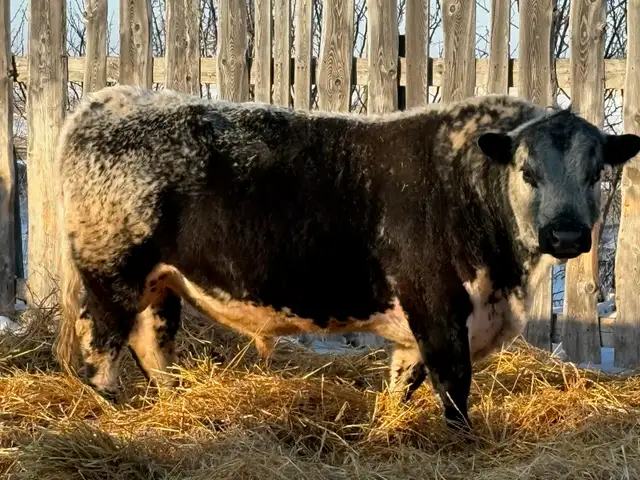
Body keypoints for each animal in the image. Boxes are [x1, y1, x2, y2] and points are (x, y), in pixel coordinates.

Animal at [53, 84, 640, 432]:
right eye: (527, 171)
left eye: (596, 172)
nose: (567, 234)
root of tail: (111, 99)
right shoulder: (438, 309)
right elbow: (454, 389)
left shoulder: (418, 328)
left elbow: (403, 385)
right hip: (112, 274)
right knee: (99, 347)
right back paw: (112, 409)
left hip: (159, 283)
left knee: (151, 345)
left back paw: (171, 401)